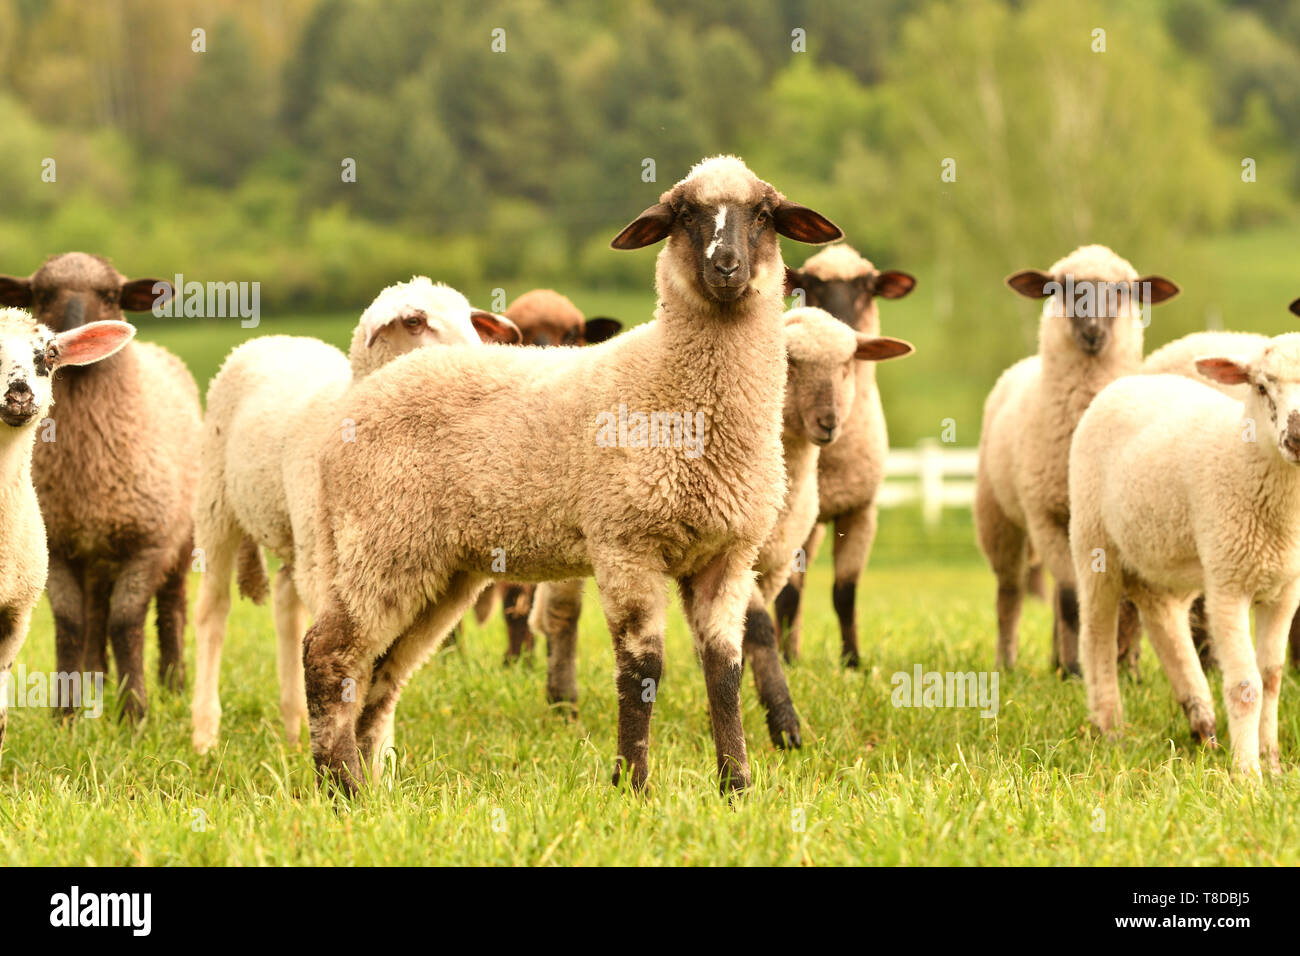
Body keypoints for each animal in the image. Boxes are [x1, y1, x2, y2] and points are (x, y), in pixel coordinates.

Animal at [190, 278, 519, 754]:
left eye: (469, 318)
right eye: (414, 321)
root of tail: (276, 337)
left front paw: (381, 750)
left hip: (296, 530)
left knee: (286, 602)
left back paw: (293, 726)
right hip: (218, 503)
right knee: (213, 610)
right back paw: (205, 733)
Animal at [300, 155, 843, 795]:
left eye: (763, 213)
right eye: (684, 214)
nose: (726, 266)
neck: (673, 382)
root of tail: (354, 401)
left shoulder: (727, 554)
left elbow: (724, 669)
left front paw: (736, 786)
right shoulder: (626, 543)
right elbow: (641, 670)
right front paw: (633, 786)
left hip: (438, 568)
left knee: (381, 669)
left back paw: (369, 785)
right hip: (381, 540)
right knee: (329, 654)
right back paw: (343, 791)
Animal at [774, 244, 915, 667]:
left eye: (868, 287)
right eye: (811, 284)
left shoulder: (861, 510)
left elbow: (845, 592)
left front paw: (853, 661)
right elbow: (788, 595)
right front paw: (787, 662)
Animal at [973, 245, 1179, 674]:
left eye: (1124, 291)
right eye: (1060, 289)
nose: (1093, 332)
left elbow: (1124, 603)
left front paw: (1127, 669)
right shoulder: (1046, 514)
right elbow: (1070, 598)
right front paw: (1076, 670)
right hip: (998, 516)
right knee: (1011, 592)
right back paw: (1011, 662)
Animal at [1070, 333, 1300, 776]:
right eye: (1261, 387)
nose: (1298, 435)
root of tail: (1132, 381)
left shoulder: (1286, 588)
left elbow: (1272, 678)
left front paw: (1273, 765)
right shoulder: (1229, 582)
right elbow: (1246, 685)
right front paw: (1248, 774)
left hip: (1162, 555)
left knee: (1164, 620)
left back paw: (1203, 725)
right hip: (1093, 540)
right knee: (1096, 637)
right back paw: (1111, 728)